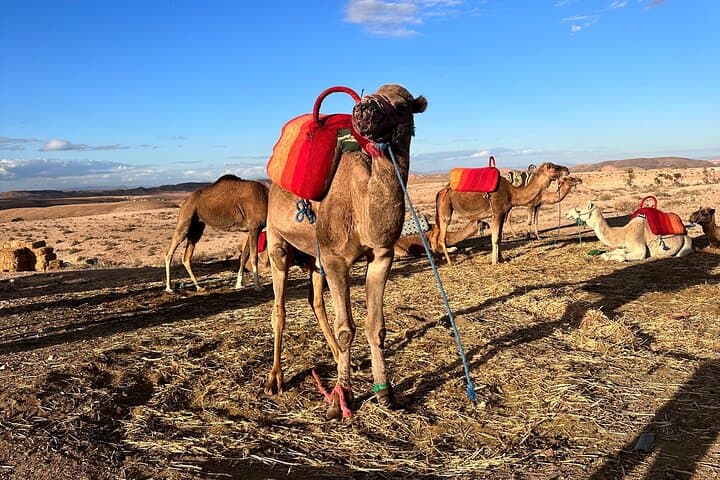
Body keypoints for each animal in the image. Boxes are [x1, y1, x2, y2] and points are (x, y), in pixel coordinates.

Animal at [264, 84, 426, 419]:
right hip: (277, 242)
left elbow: (376, 327)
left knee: (316, 302)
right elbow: (346, 330)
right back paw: (275, 380)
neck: (362, 203)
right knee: (280, 310)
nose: (363, 109)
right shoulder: (336, 259)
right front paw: (343, 400)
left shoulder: (381, 255)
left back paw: (335, 356)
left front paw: (385, 393)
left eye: (402, 105)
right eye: (373, 92)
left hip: (314, 257)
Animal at [433, 162, 569, 265]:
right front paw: (494, 262)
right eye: (554, 167)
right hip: (445, 207)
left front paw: (502, 259)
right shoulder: (497, 212)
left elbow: (499, 238)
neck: (512, 193)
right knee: (442, 236)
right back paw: (450, 262)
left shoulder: (503, 212)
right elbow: (494, 238)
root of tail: (440, 192)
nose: (567, 170)